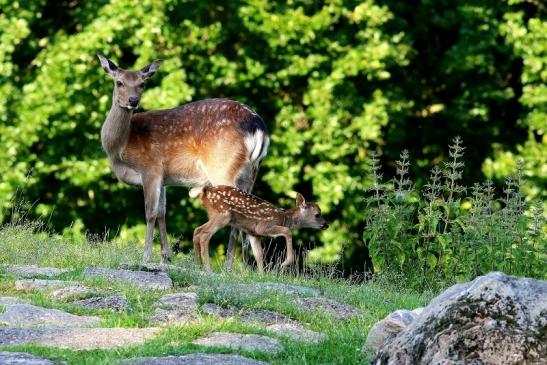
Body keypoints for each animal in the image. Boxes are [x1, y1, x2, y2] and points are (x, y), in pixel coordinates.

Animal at [99, 54, 270, 264]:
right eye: (119, 82)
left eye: (142, 83)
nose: (133, 100)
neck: (121, 147)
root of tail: (259, 126)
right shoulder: (163, 178)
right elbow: (162, 213)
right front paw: (166, 256)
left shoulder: (150, 168)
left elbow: (150, 213)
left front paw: (146, 256)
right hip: (252, 172)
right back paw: (241, 265)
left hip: (222, 167)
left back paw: (229, 265)